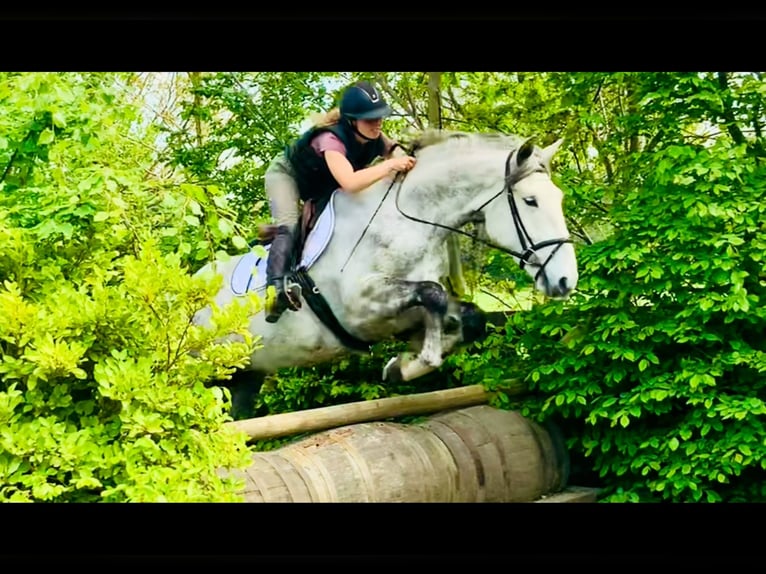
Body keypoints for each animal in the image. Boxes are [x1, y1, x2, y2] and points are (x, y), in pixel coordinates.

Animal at [195, 130, 580, 382]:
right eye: (530, 201)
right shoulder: (359, 307)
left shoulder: (400, 311)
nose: (566, 280)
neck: (406, 219)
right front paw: (417, 361)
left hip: (244, 376)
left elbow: (464, 315)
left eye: (559, 198)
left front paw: (402, 365)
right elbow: (433, 294)